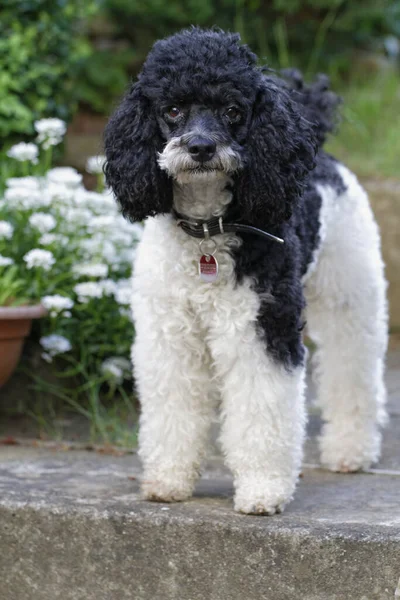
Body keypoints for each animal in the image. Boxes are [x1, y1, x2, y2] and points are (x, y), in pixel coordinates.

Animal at [104, 29, 388, 516]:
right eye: (173, 109)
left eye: (233, 110)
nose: (201, 147)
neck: (208, 232)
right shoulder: (169, 339)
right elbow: (173, 410)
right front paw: (168, 481)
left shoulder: (264, 330)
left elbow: (262, 412)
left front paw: (262, 490)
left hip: (351, 295)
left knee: (354, 367)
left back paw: (350, 450)